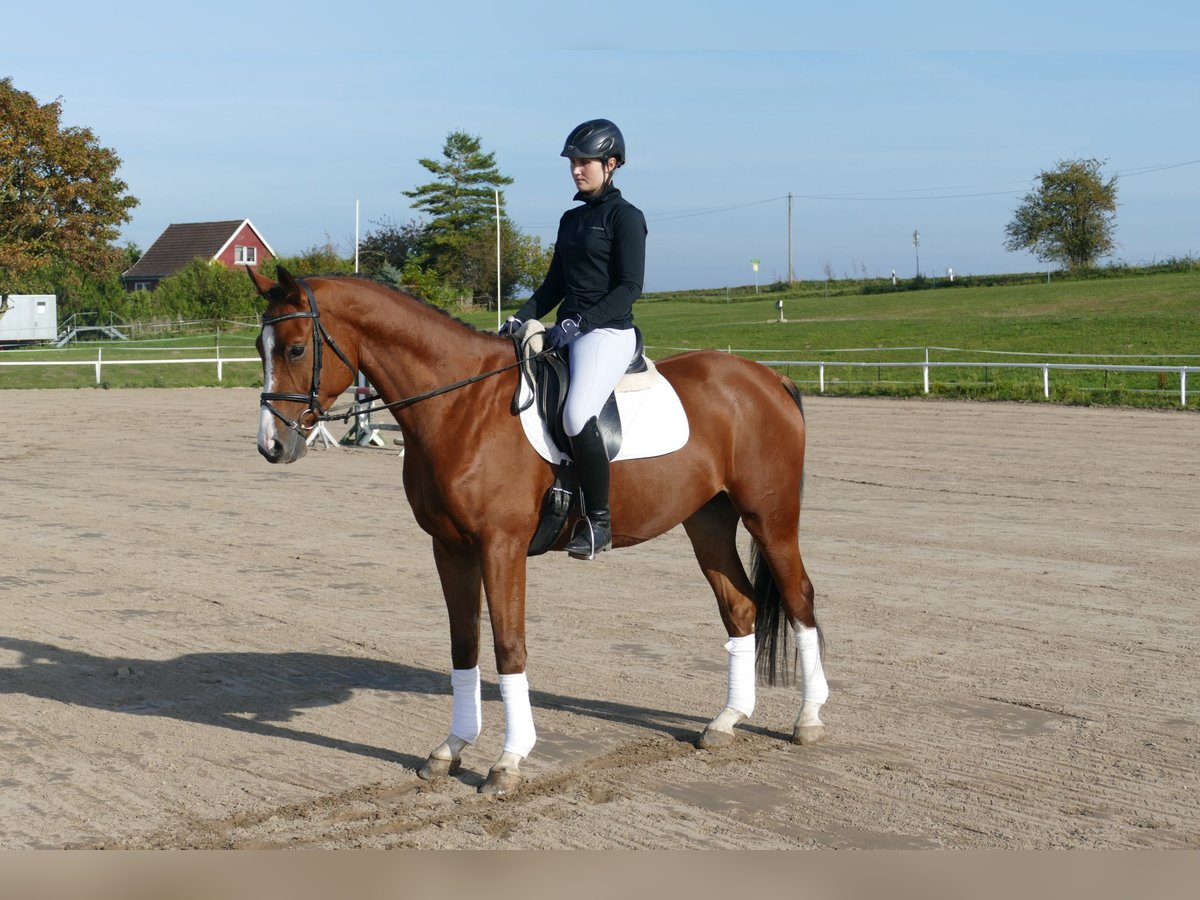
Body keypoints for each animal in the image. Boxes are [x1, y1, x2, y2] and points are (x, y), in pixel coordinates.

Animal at [250, 266, 835, 796]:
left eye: (296, 350)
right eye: (260, 347)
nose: (272, 446)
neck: (462, 407)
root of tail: (766, 377)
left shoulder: (501, 547)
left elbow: (509, 647)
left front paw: (508, 762)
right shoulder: (450, 549)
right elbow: (464, 645)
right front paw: (451, 748)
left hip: (770, 518)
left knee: (798, 597)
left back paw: (808, 720)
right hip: (707, 522)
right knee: (739, 606)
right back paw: (726, 721)